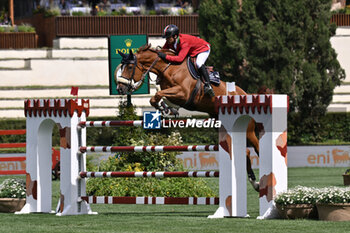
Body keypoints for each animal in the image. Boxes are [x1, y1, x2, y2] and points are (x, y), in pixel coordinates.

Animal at [116, 44, 262, 191]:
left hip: (248, 131)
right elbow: (157, 97)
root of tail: (245, 94)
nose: (120, 89)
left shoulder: (183, 93)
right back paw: (254, 182)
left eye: (130, 67)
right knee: (245, 152)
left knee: (256, 148)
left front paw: (164, 108)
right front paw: (166, 109)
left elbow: (158, 94)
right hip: (223, 127)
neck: (169, 68)